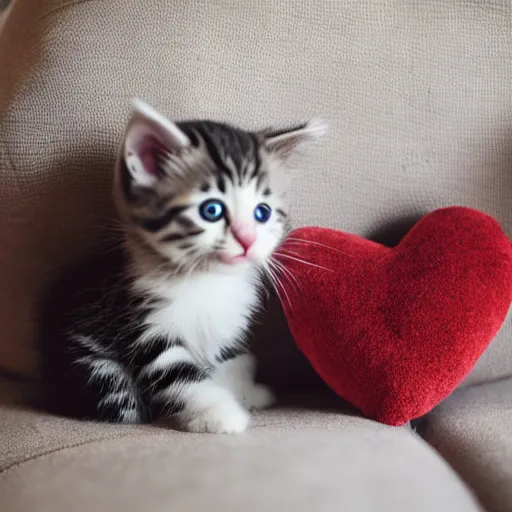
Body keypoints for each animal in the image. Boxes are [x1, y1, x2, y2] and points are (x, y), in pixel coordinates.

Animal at [40, 99, 324, 432]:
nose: (247, 240)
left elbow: (228, 361)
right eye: (211, 210)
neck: (205, 279)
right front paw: (219, 415)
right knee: (120, 403)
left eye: (262, 213)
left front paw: (245, 392)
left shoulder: (223, 329)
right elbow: (176, 373)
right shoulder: (140, 324)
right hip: (90, 365)